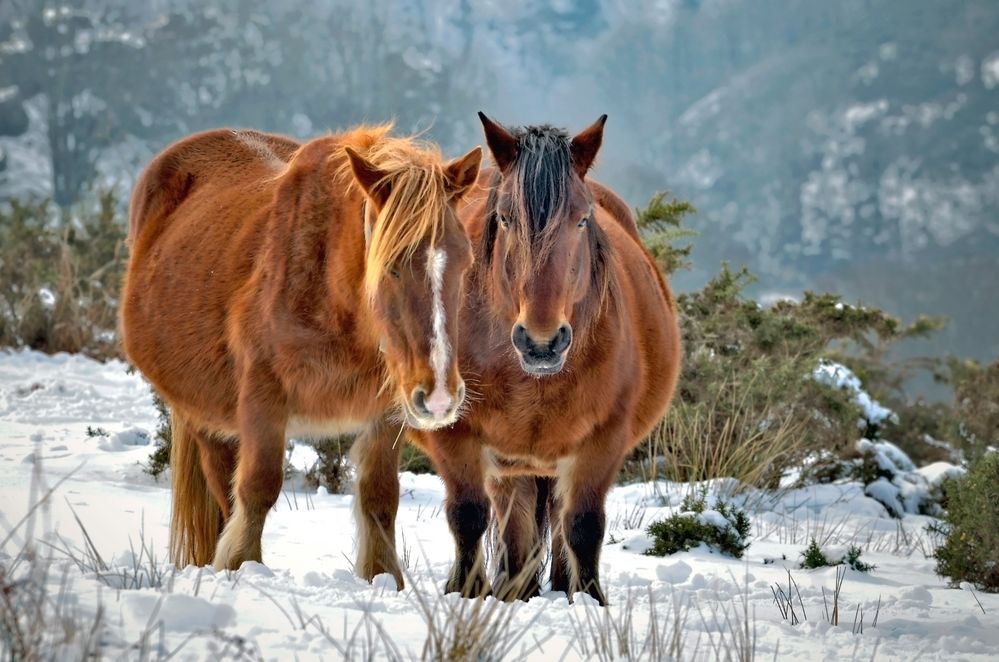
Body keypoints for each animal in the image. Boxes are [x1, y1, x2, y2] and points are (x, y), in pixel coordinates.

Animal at [122, 126, 484, 580]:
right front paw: (244, 566)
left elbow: (380, 496)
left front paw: (382, 576)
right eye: (391, 266)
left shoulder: (386, 414)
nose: (438, 398)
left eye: (464, 263)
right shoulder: (262, 401)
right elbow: (258, 487)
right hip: (203, 414)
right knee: (222, 487)